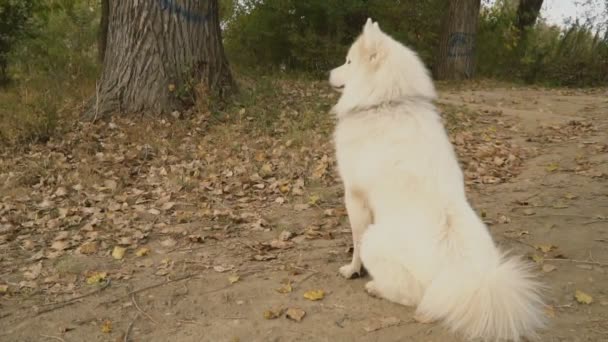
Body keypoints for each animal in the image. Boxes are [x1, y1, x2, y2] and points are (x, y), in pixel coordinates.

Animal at [330, 19, 548, 342]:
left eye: (347, 62)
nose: (328, 74)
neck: (387, 103)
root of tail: (461, 277)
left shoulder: (354, 196)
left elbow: (354, 241)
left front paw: (353, 270)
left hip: (375, 240)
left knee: (413, 295)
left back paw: (375, 287)